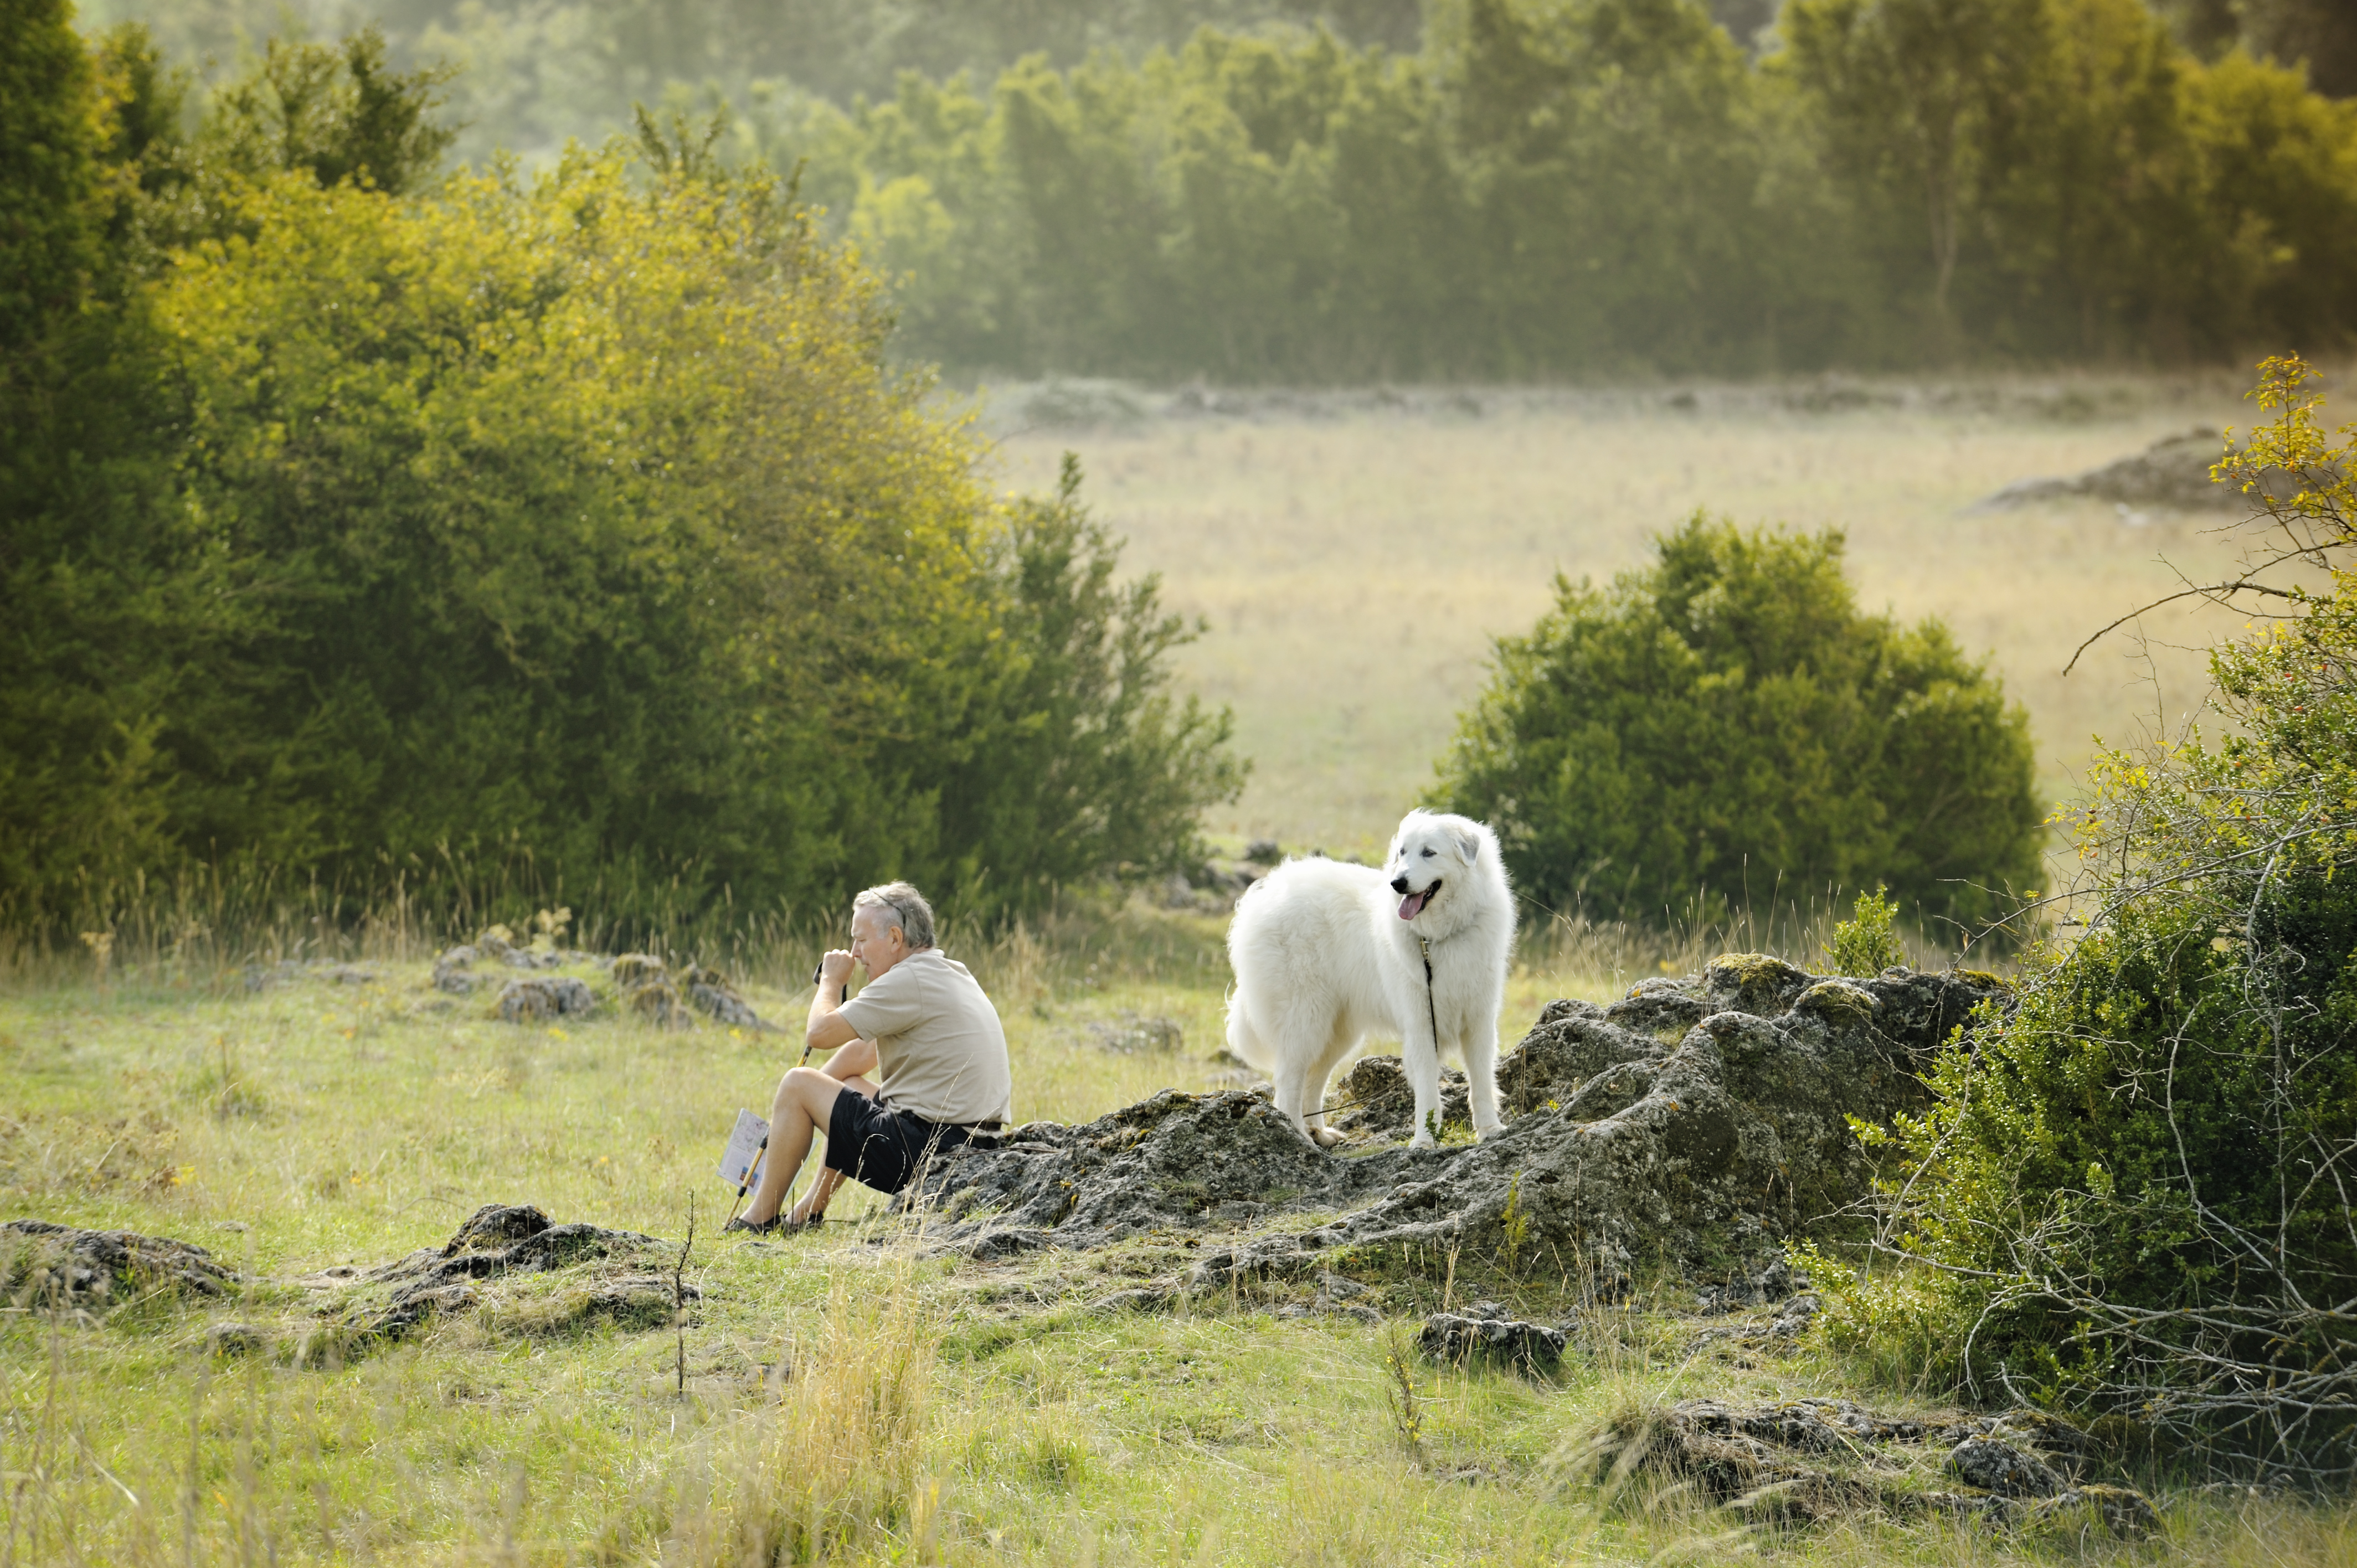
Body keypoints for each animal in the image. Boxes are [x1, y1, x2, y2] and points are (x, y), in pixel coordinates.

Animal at [1226, 811, 1517, 1146]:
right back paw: (1300, 1138)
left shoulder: (1479, 1019)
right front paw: (1424, 1141)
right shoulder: (1420, 1023)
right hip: (1306, 1020)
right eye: (1402, 852)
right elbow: (1428, 1089)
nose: (1397, 883)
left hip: (1336, 1032)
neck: (1437, 938)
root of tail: (1261, 900)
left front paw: (1491, 1130)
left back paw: (1320, 1133)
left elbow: (1482, 1080)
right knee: (1288, 1083)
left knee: (1313, 1078)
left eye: (1429, 853)